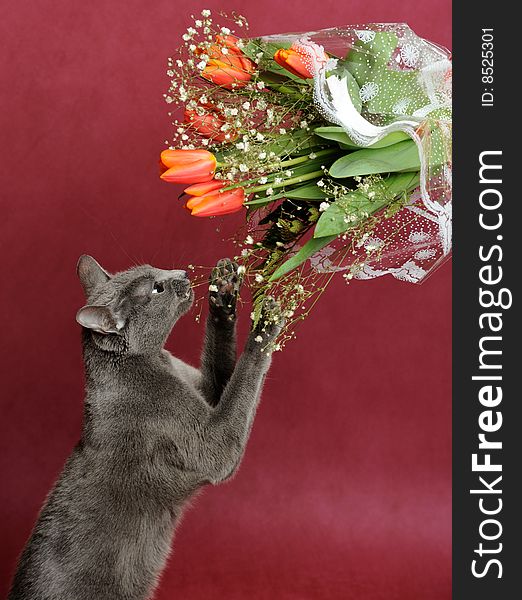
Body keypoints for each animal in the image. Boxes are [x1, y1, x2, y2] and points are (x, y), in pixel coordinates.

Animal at [8, 255, 280, 600]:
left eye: (156, 271)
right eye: (156, 288)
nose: (183, 273)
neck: (153, 363)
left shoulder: (201, 388)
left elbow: (220, 373)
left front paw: (224, 292)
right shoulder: (209, 440)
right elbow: (240, 390)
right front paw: (265, 326)